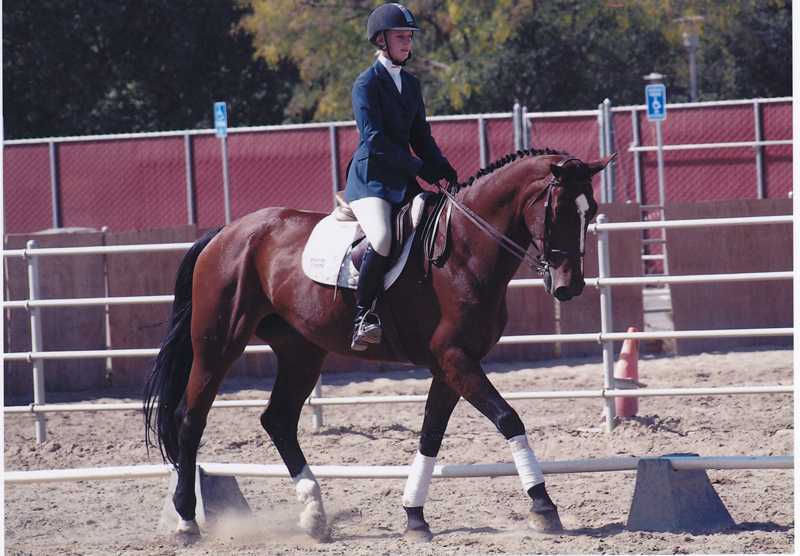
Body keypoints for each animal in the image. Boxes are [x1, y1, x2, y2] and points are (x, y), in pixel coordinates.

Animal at [145, 148, 612, 544]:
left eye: (591, 212)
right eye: (556, 211)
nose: (569, 287)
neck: (463, 251)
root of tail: (226, 233)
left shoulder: (450, 365)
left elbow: (430, 435)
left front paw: (415, 517)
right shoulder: (455, 359)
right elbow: (508, 418)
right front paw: (544, 507)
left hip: (300, 352)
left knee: (277, 419)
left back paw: (314, 516)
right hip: (218, 343)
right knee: (191, 419)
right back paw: (186, 522)